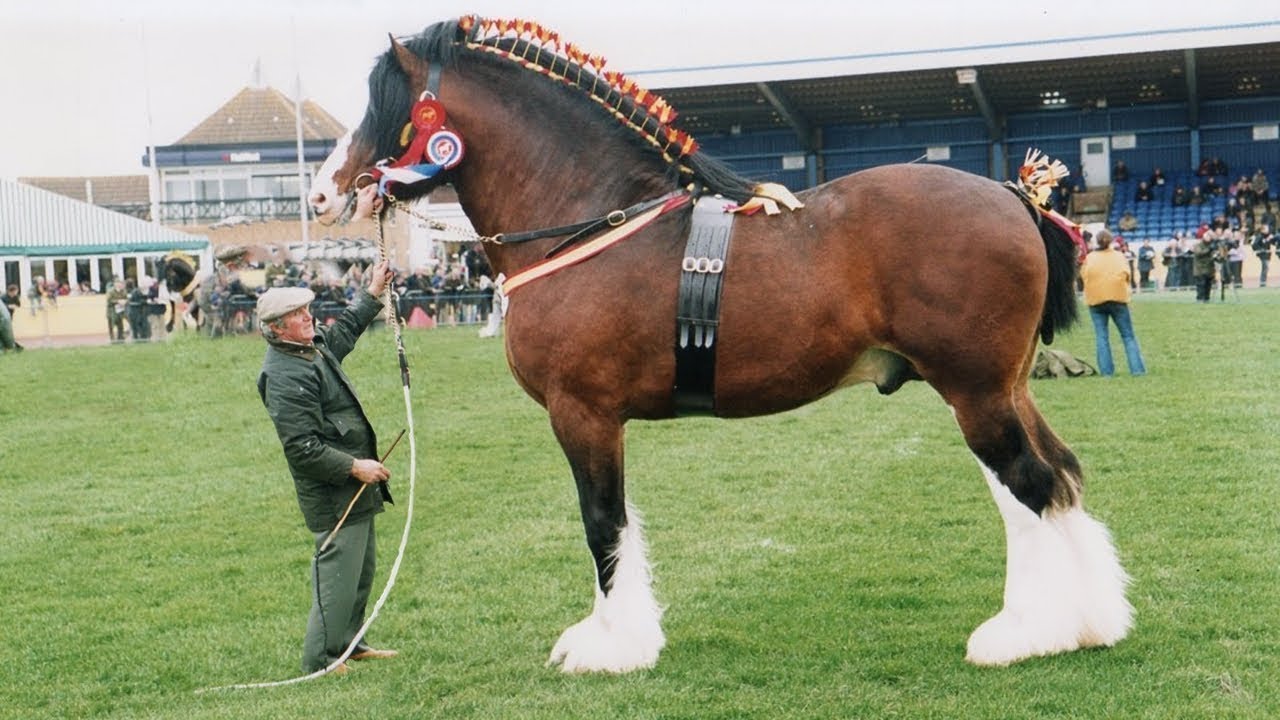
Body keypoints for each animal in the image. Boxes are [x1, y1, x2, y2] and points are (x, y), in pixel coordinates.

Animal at [309, 16, 1131, 671]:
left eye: (385, 108)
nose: (320, 193)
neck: (592, 218)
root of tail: (1013, 197)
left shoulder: (583, 413)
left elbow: (602, 522)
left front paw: (612, 647)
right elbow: (615, 521)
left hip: (975, 393)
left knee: (1029, 486)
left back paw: (1025, 634)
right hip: (1006, 389)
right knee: (1055, 480)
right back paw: (1088, 622)